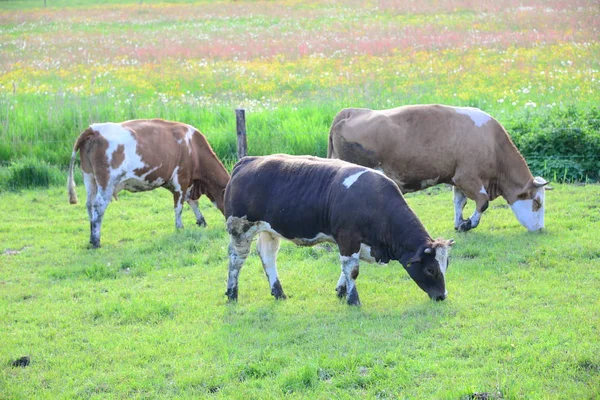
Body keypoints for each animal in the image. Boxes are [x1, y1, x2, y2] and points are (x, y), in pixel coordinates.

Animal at [67, 118, 231, 247]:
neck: (194, 148)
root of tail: (94, 129)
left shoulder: (184, 182)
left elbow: (192, 202)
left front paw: (201, 221)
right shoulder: (181, 179)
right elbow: (179, 206)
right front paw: (180, 227)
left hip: (89, 177)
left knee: (89, 205)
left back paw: (91, 237)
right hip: (106, 182)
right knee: (98, 206)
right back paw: (96, 241)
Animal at [223, 155, 452, 304]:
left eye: (446, 266)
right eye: (430, 269)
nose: (442, 296)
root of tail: (247, 160)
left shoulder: (355, 243)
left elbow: (347, 268)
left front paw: (341, 292)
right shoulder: (348, 238)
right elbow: (352, 269)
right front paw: (353, 299)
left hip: (269, 230)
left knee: (268, 257)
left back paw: (278, 292)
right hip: (240, 228)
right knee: (236, 259)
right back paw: (232, 293)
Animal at [330, 104, 552, 233]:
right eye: (537, 203)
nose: (540, 228)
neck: (492, 143)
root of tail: (349, 112)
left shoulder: (457, 179)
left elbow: (459, 202)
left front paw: (459, 223)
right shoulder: (467, 177)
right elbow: (483, 202)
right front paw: (468, 224)